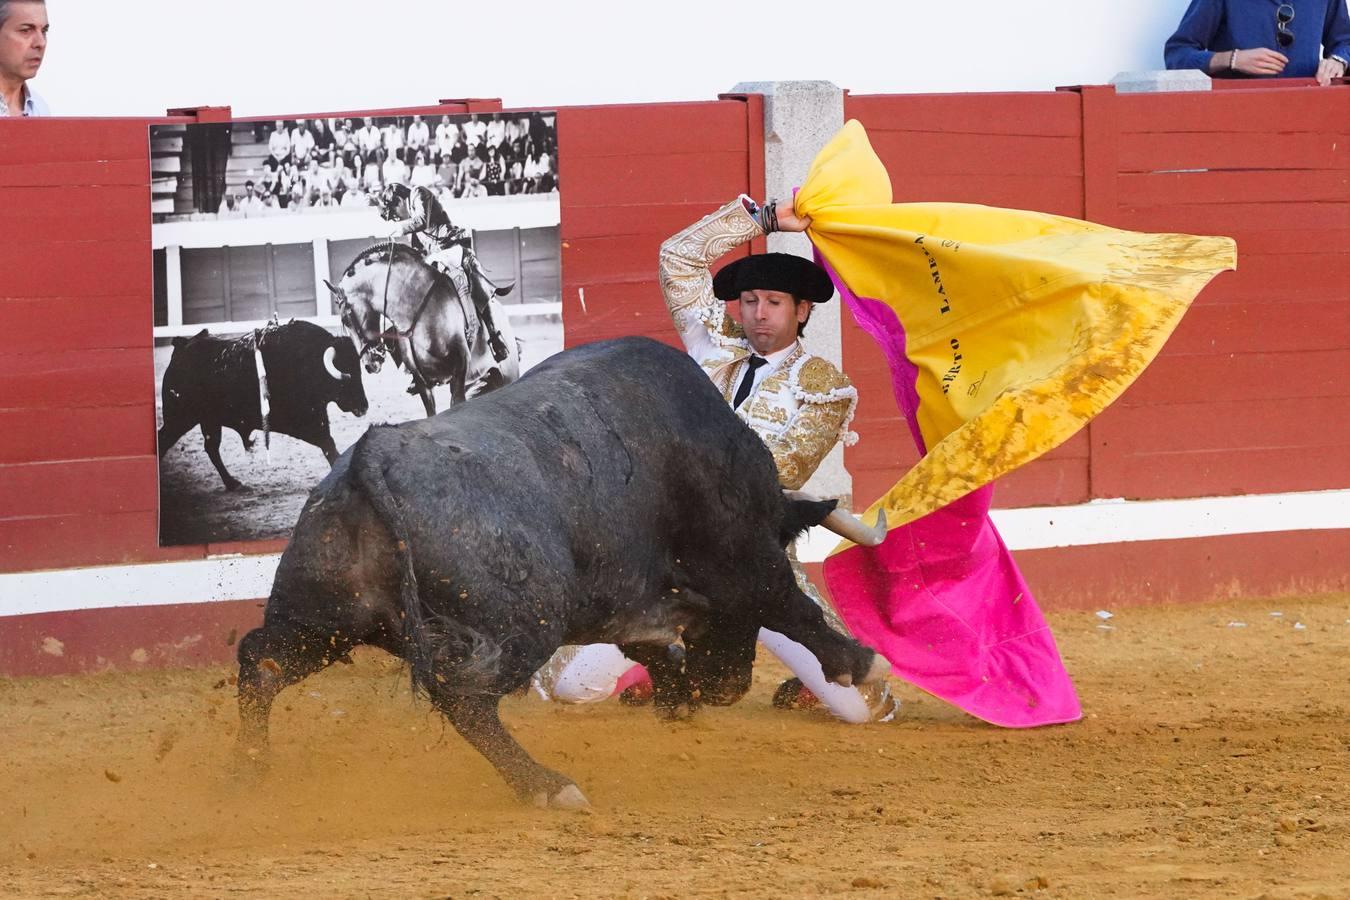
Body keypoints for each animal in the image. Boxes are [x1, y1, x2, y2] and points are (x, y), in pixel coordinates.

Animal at [157, 319, 369, 493]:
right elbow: (328, 445)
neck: (309, 362)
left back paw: (232, 483)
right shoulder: (307, 423)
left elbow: (329, 445)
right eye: (347, 375)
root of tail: (182, 347)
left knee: (211, 447)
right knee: (164, 441)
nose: (364, 406)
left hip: (208, 420)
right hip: (179, 418)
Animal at [324, 242, 518, 418]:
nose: (369, 364)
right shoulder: (423, 383)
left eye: (345, 319)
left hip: (509, 374)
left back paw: (500, 346)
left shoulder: (459, 372)